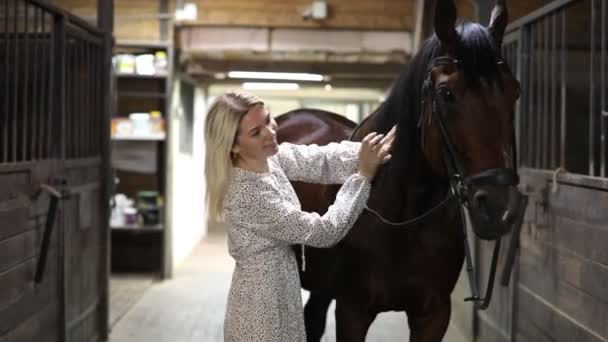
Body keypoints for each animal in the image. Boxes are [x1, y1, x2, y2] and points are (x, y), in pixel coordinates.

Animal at [278, 0, 520, 342]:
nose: (500, 210)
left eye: (515, 91)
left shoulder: (433, 315)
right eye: (446, 93)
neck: (404, 218)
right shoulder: (352, 311)